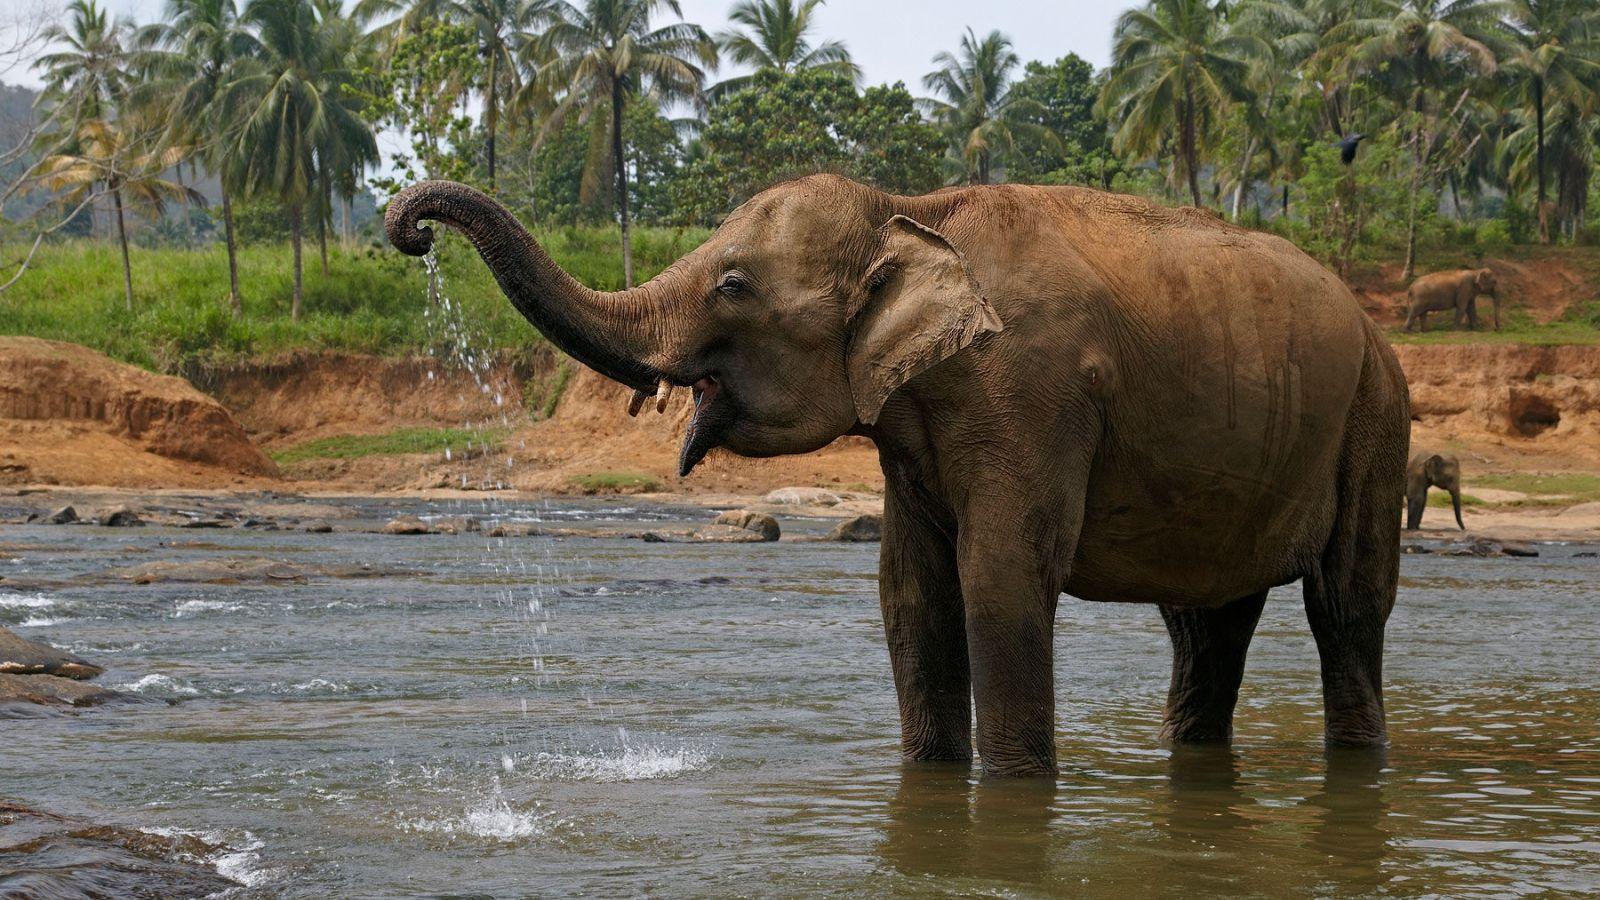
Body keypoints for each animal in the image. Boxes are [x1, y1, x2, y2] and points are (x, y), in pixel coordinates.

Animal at [386, 176, 1412, 776]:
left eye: (733, 286)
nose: (411, 231)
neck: (911, 206)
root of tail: (1374, 326)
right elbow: (910, 593)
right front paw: (930, 781)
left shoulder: (1031, 389)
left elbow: (1000, 580)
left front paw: (1012, 794)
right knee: (1205, 622)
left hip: (1376, 419)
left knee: (1344, 605)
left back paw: (1360, 757)